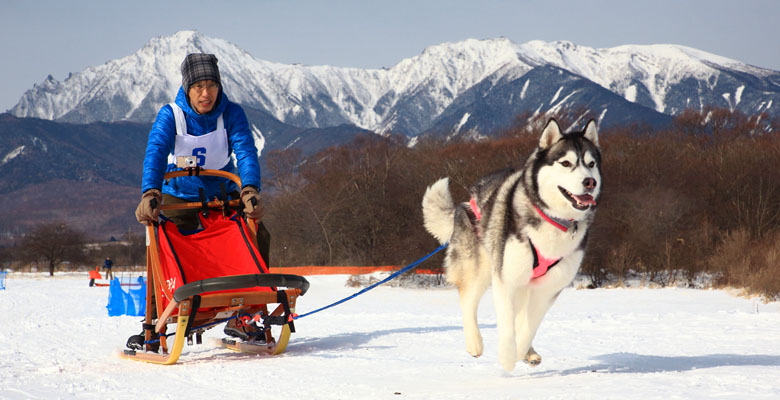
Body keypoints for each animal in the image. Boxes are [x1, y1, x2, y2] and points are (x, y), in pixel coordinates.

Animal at [424, 119, 600, 372]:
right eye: (566, 163)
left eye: (591, 164)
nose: (589, 181)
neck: (553, 220)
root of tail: (469, 200)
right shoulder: (506, 278)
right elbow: (508, 324)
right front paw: (508, 357)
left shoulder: (549, 287)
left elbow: (529, 325)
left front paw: (521, 350)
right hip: (480, 267)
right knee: (468, 300)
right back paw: (474, 342)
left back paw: (529, 352)